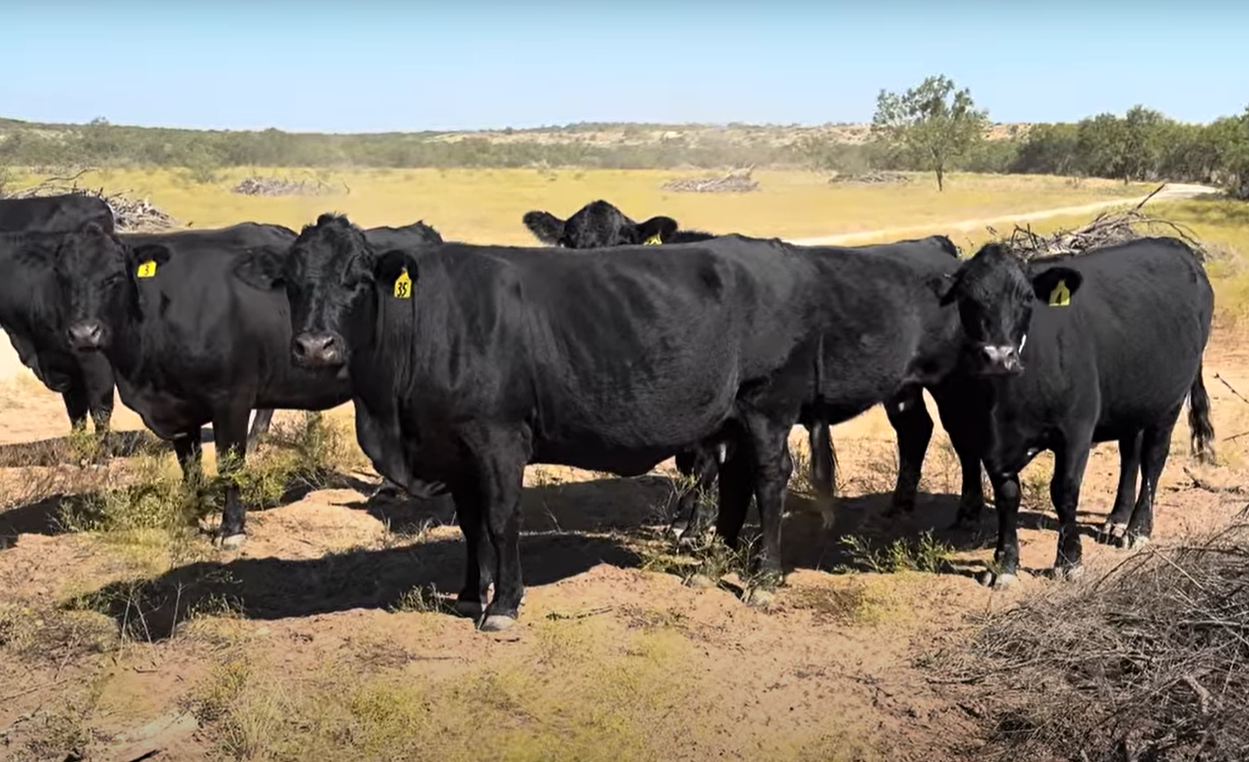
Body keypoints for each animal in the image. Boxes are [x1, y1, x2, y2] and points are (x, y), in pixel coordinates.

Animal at [50, 220, 444, 549]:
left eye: (114, 276)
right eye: (62, 277)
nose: (83, 333)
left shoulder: (231, 400)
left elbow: (229, 464)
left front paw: (231, 529)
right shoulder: (180, 410)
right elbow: (190, 466)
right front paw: (193, 514)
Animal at [235, 213, 1039, 631]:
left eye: (358, 280)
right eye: (293, 282)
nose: (315, 346)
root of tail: (777, 254)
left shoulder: (498, 439)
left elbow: (500, 518)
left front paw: (504, 604)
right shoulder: (454, 444)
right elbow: (469, 524)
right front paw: (469, 590)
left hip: (768, 404)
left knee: (771, 480)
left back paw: (764, 576)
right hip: (739, 411)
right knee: (743, 480)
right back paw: (713, 561)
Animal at [923, 238, 1215, 588]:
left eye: (1026, 297)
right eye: (966, 299)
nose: (999, 356)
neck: (1006, 400)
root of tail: (1175, 246)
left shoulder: (1075, 430)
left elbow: (1064, 490)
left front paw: (1069, 560)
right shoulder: (987, 439)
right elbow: (1007, 495)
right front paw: (1004, 563)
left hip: (1169, 400)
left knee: (1153, 459)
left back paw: (1137, 529)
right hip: (1131, 399)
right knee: (1130, 453)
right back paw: (1116, 519)